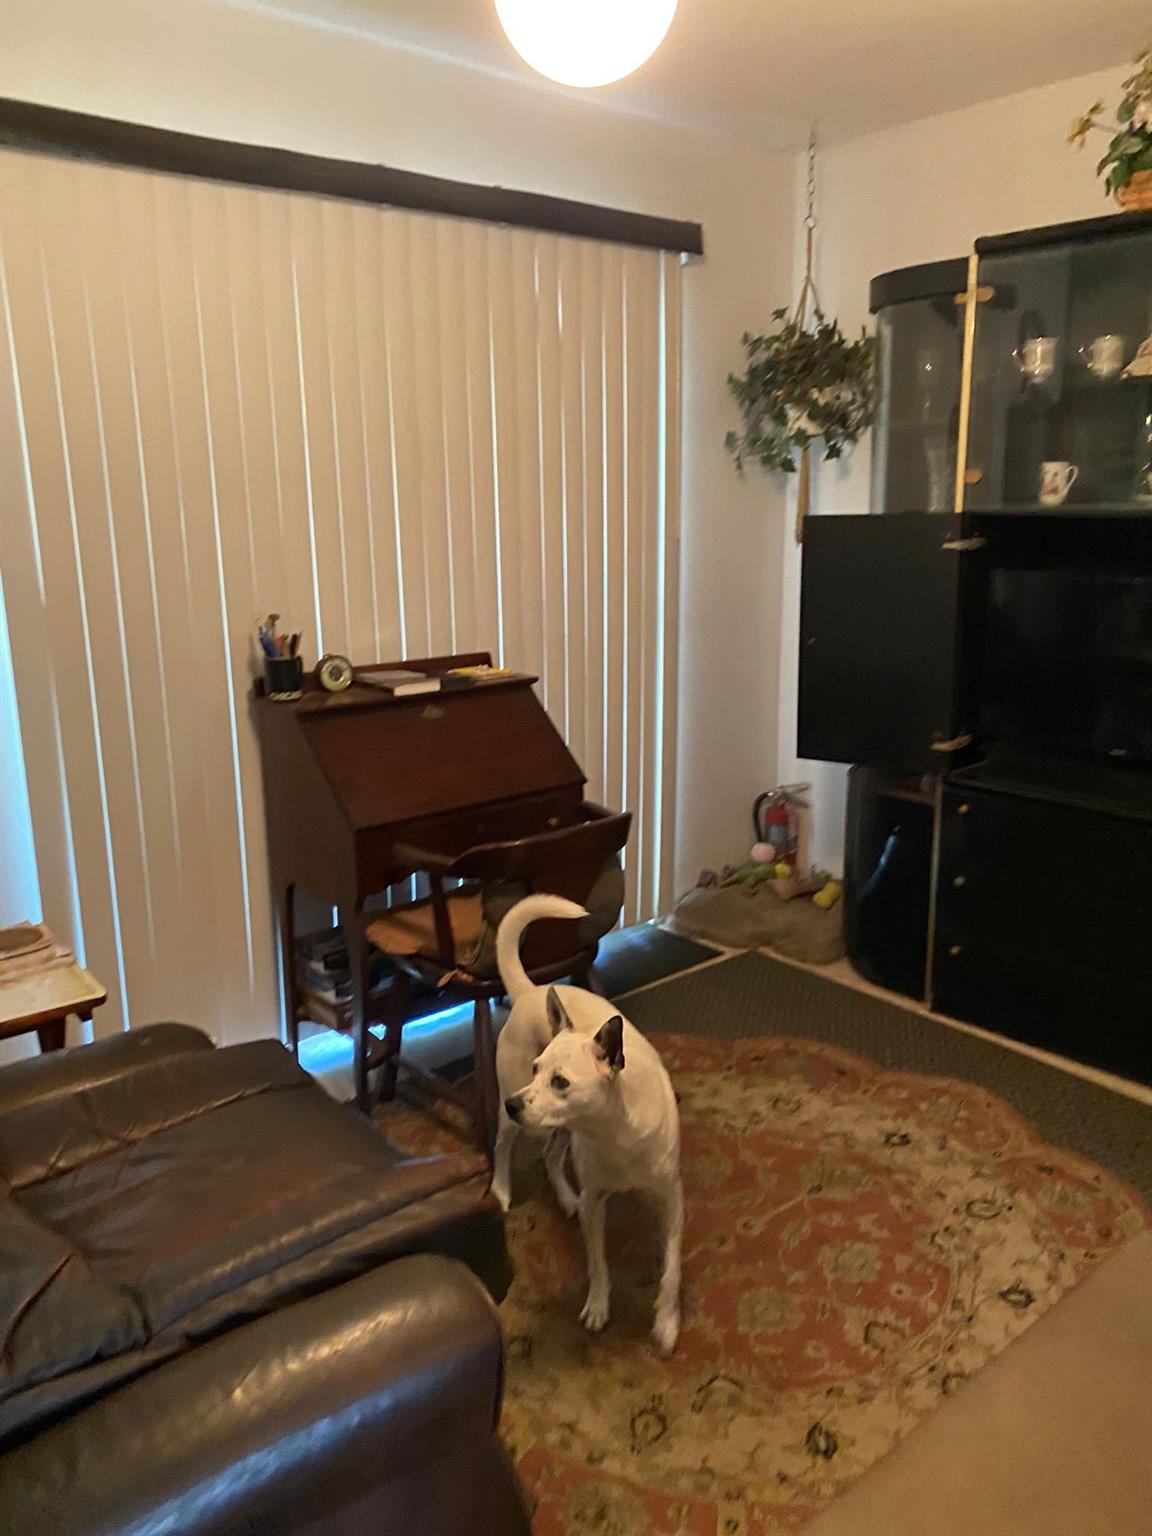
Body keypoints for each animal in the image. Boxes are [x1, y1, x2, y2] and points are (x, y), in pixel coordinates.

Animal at [491, 894, 683, 1355]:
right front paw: (597, 1306)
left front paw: (667, 1323)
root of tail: (531, 991)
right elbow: (597, 1262)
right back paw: (502, 1190)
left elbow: (671, 1269)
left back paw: (566, 1198)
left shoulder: (672, 1199)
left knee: (550, 1155)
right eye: (537, 1069)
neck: (615, 1133)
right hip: (522, 1118)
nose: (514, 1103)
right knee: (503, 1146)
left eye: (560, 1081)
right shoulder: (598, 1200)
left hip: (556, 1128)